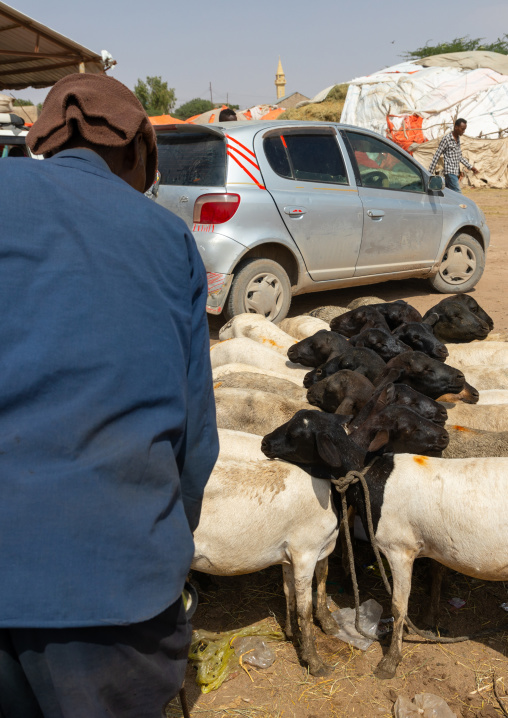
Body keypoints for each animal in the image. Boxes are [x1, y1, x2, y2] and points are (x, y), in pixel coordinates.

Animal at [261, 409, 508, 679]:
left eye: (296, 433)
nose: (264, 442)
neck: (373, 478)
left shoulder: (400, 550)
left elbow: (399, 607)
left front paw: (390, 662)